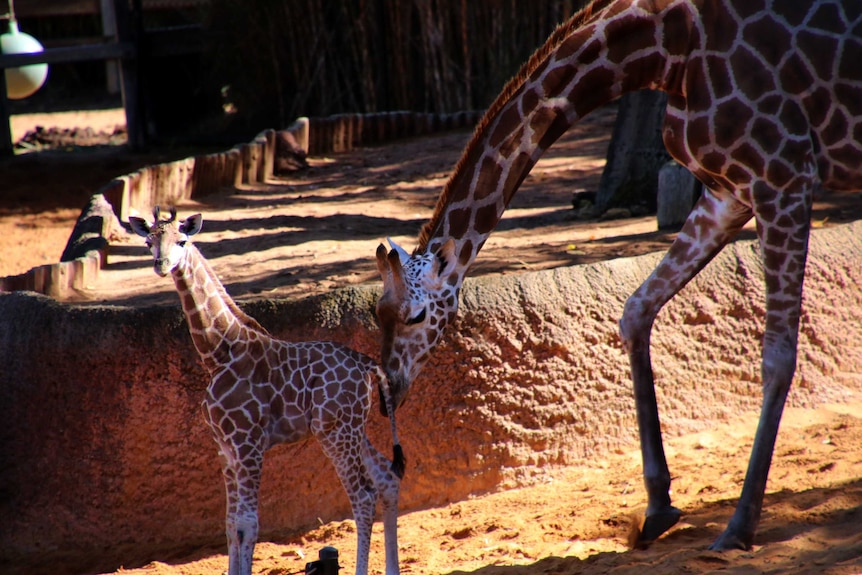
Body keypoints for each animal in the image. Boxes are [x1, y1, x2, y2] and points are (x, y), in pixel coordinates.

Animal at [131, 207, 404, 575]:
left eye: (182, 240)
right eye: (149, 241)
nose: (162, 265)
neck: (218, 351)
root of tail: (367, 366)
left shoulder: (248, 442)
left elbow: (248, 524)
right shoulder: (225, 448)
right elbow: (230, 524)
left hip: (335, 431)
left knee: (363, 494)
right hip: (351, 428)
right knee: (387, 478)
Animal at [374, 0, 860, 552]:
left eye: (415, 316)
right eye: (377, 313)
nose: (388, 392)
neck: (665, 49)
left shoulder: (784, 176)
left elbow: (777, 356)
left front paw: (738, 526)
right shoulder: (727, 192)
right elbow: (634, 310)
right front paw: (657, 506)